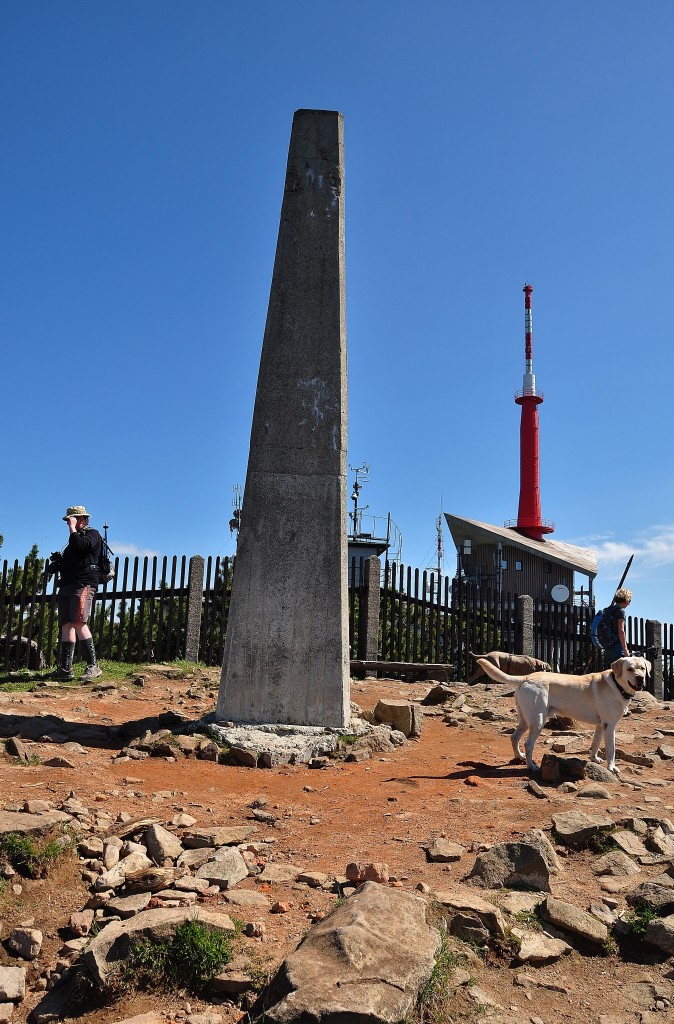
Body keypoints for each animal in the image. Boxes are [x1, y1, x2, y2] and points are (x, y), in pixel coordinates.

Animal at [475, 659, 647, 770]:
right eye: (630, 669)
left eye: (642, 668)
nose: (640, 678)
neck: (617, 685)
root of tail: (526, 678)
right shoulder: (609, 726)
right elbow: (611, 750)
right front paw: (612, 767)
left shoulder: (601, 726)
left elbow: (595, 744)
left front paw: (594, 758)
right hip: (538, 721)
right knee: (528, 744)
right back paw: (531, 767)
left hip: (525, 720)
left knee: (514, 737)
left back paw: (520, 757)